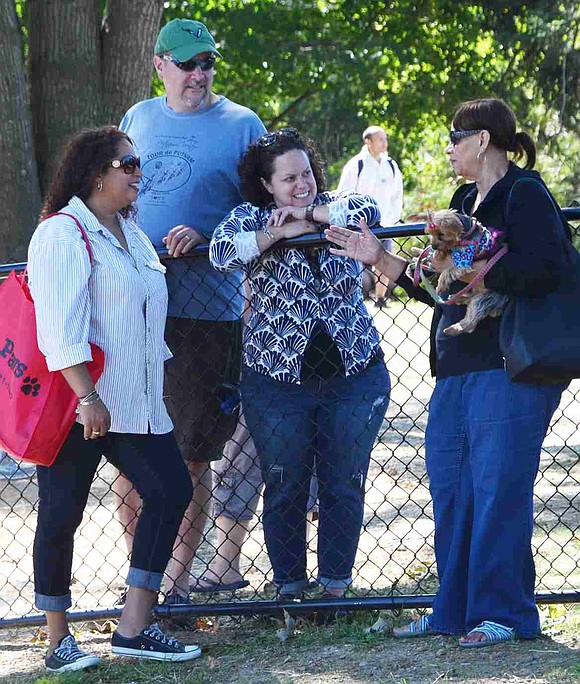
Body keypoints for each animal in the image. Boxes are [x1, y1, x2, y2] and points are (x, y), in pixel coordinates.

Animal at [412, 208, 508, 336]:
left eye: (441, 234)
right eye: (430, 234)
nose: (434, 246)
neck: (466, 233)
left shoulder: (464, 261)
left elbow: (448, 271)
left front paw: (440, 285)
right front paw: (435, 253)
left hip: (487, 297)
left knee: (474, 314)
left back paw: (454, 328)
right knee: (471, 297)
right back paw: (460, 298)